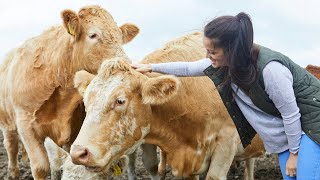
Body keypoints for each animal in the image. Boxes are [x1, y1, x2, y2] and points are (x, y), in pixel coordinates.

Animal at [0, 4, 139, 179]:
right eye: (93, 35)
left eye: (121, 38)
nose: (126, 63)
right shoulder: (26, 125)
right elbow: (40, 167)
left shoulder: (75, 127)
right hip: (7, 123)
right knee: (11, 146)